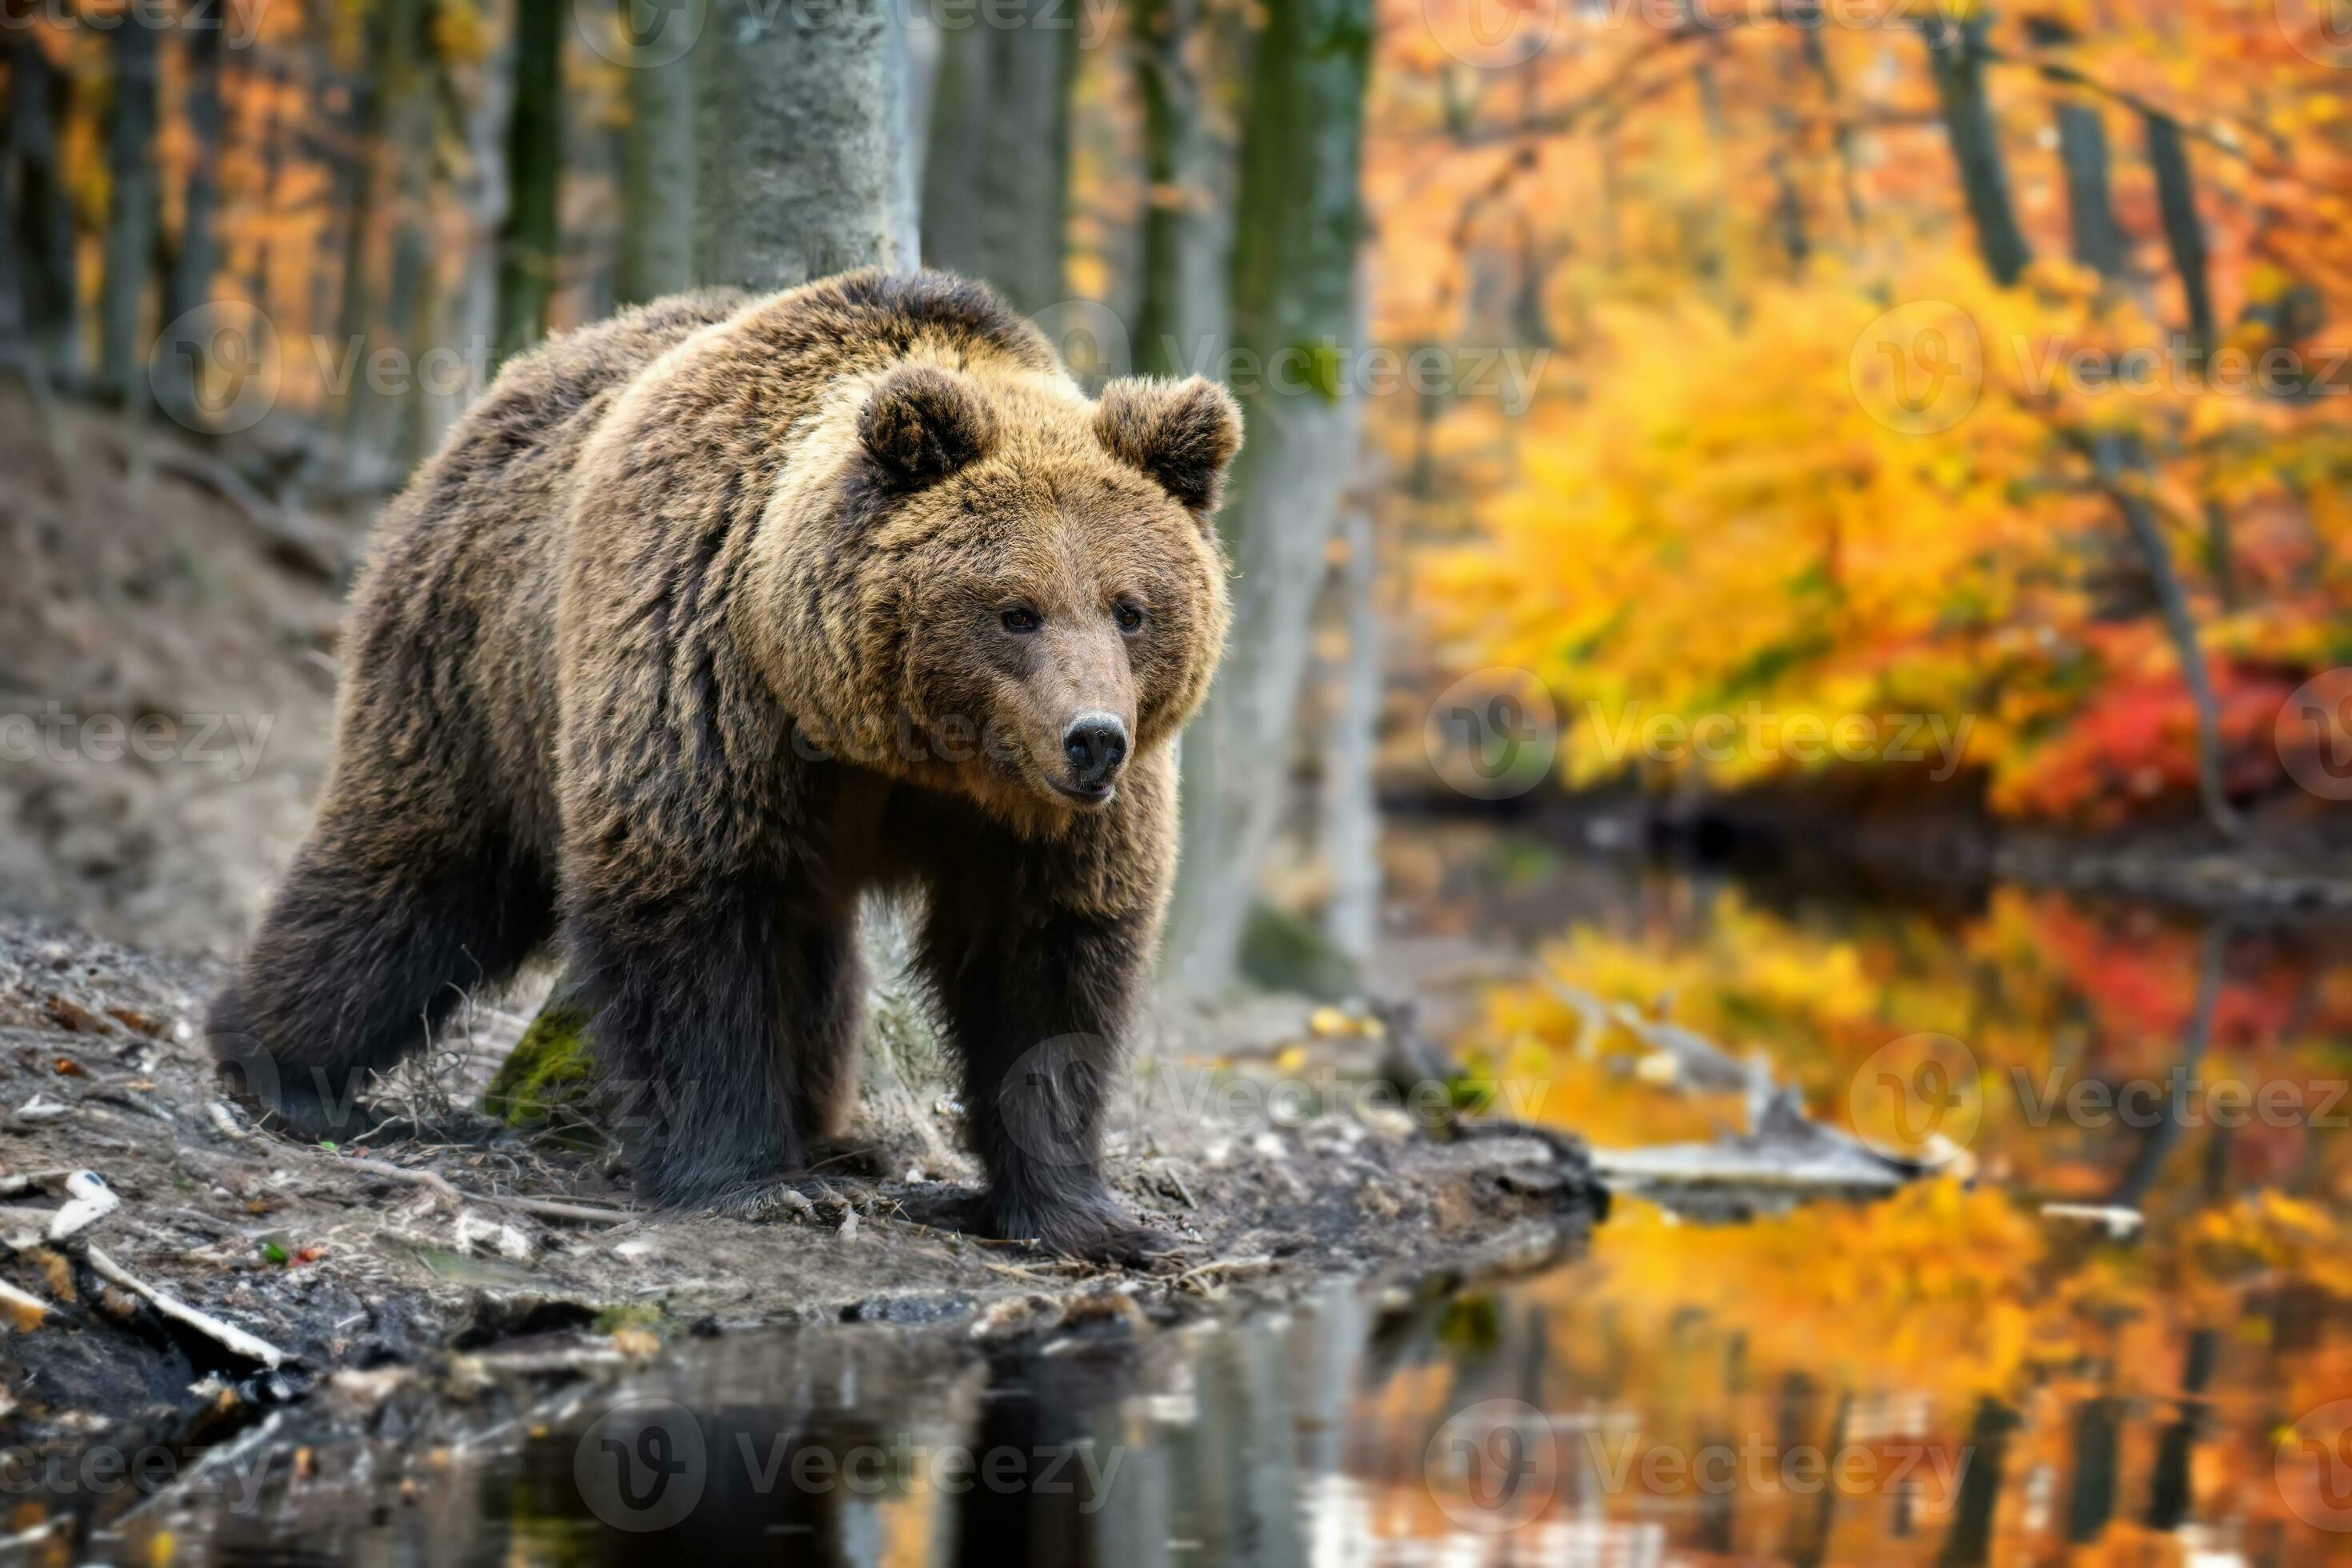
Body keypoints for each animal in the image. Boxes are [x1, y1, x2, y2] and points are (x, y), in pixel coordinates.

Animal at [207, 271, 1241, 1263]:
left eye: (1131, 608)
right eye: (1015, 610)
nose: (1093, 736)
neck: (899, 744)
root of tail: (504, 393)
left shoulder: (1042, 821)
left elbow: (1046, 966)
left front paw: (1085, 1215)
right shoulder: (707, 685)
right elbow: (691, 922)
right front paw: (745, 1177)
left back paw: (834, 1134)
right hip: (475, 664)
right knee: (418, 867)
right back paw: (278, 1065)